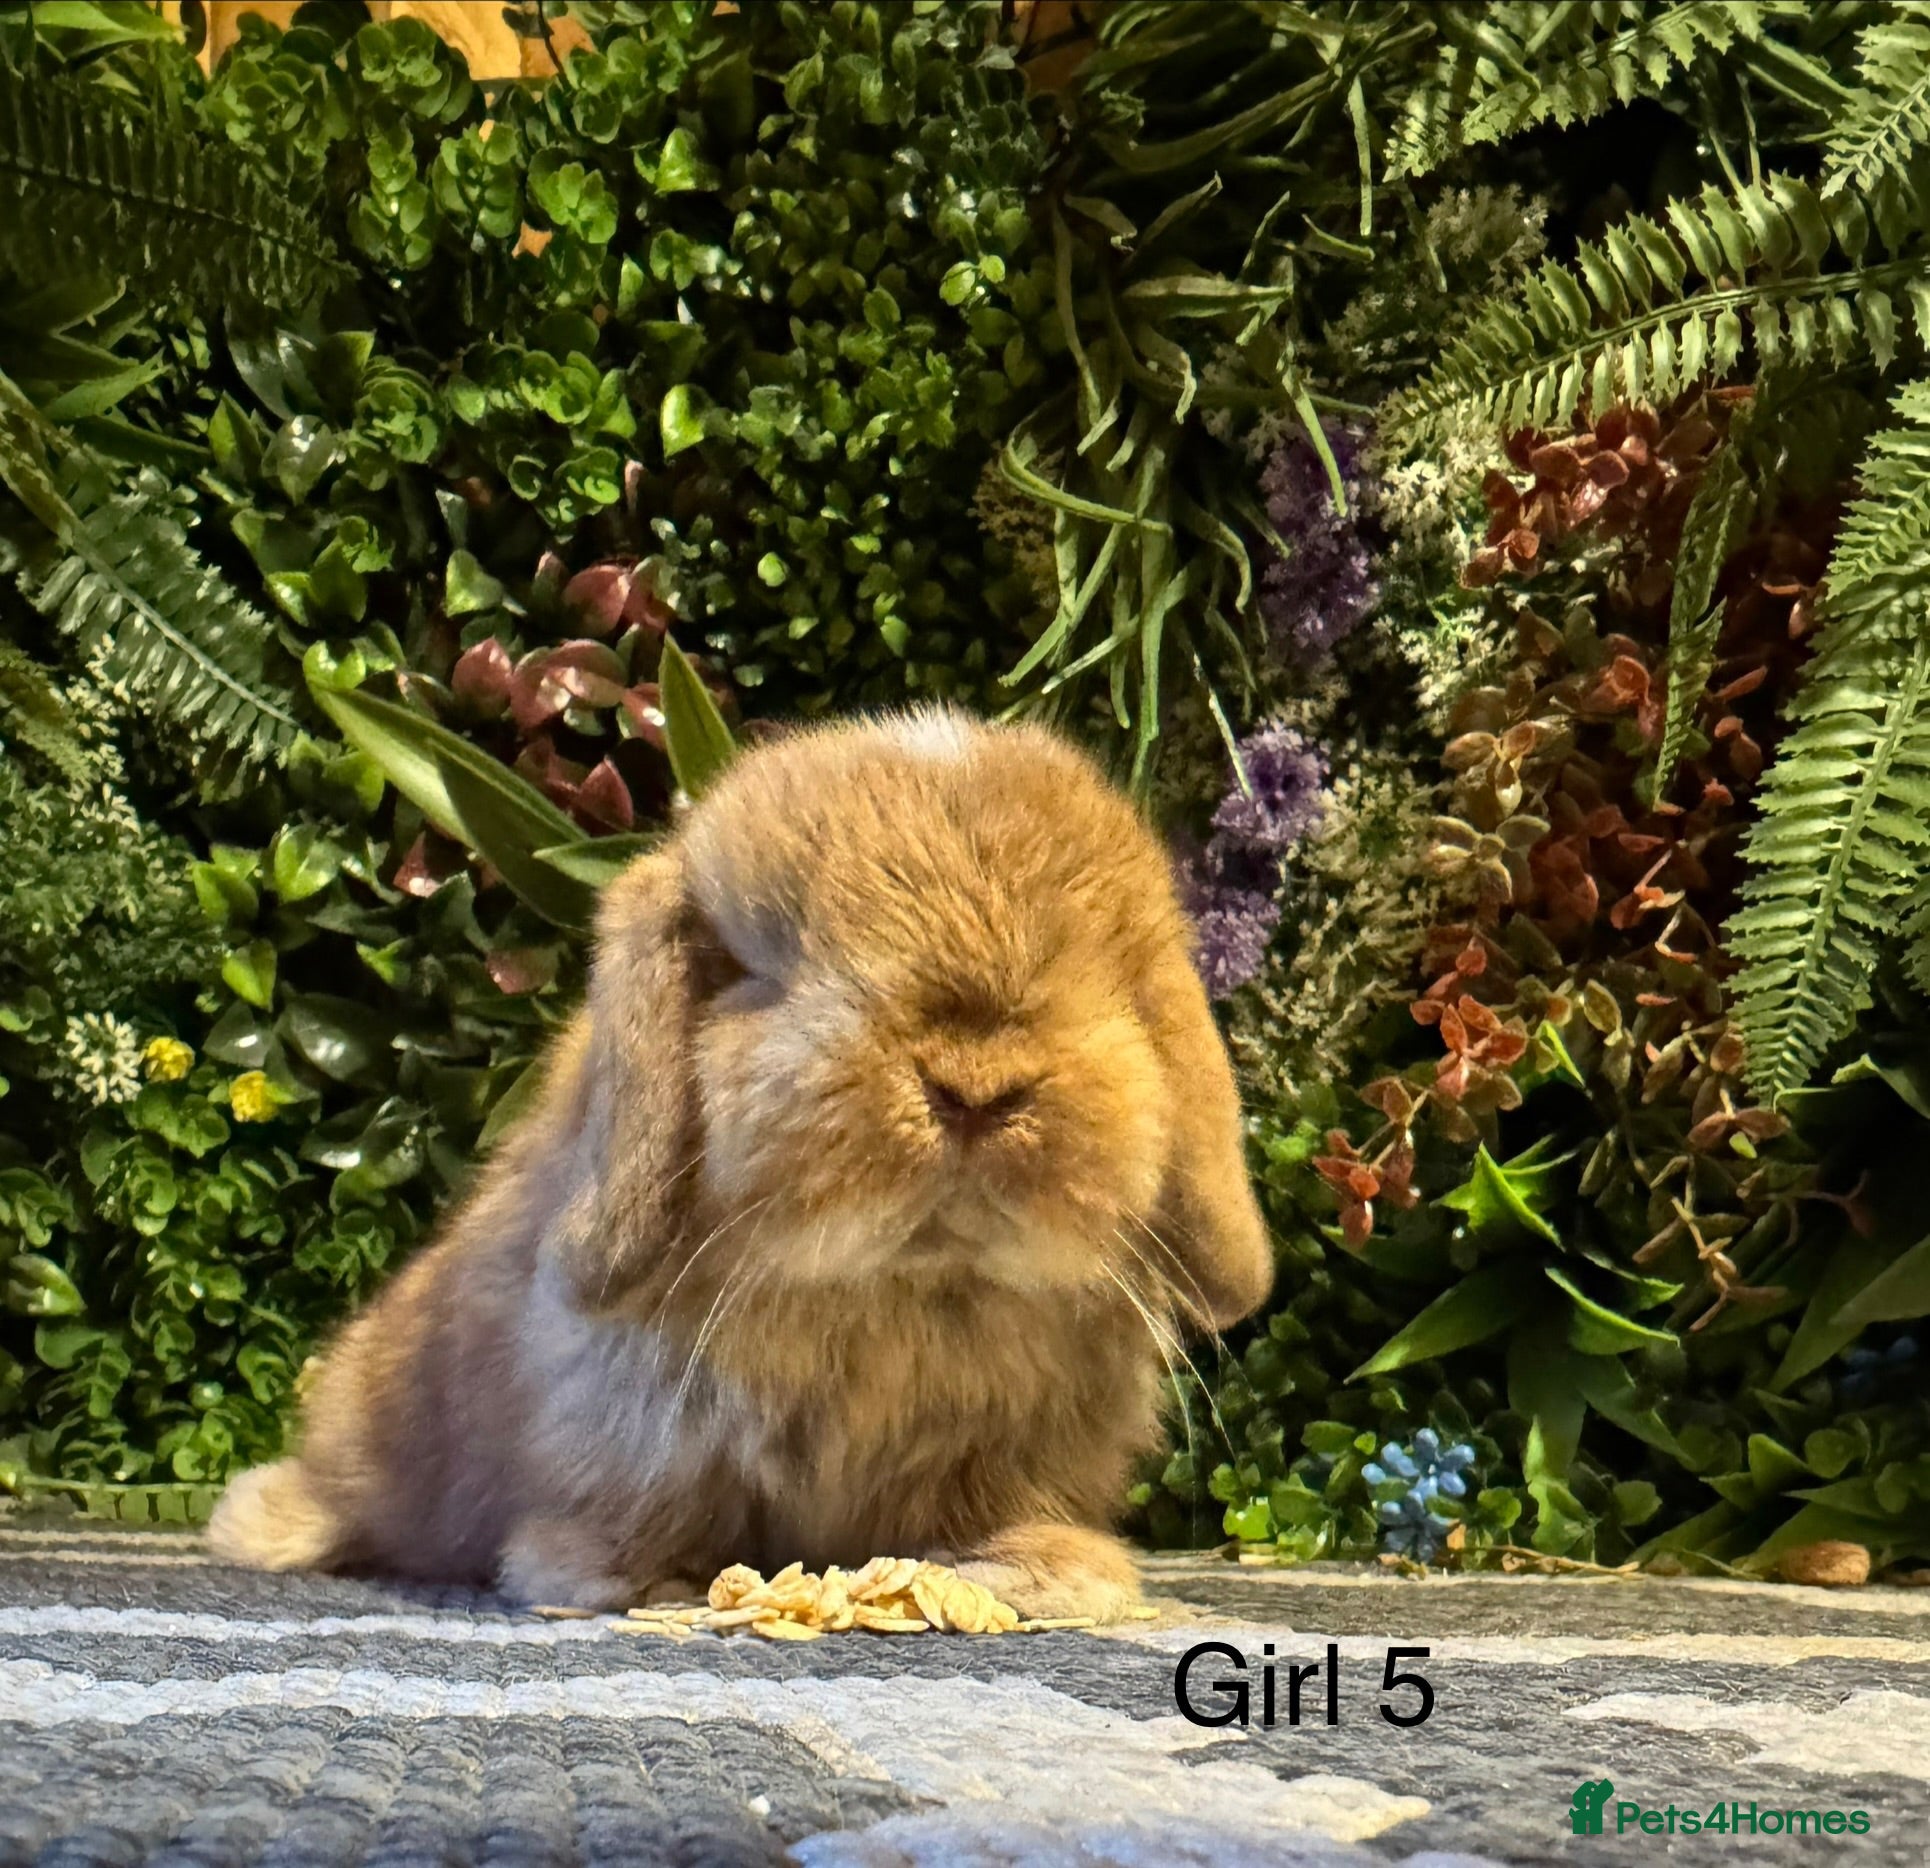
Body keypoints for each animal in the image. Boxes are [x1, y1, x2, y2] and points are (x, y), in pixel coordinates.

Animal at [208, 707, 1274, 1621]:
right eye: (761, 969)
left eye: (1114, 980)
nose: (975, 1086)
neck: (901, 1291)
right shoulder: (638, 1424)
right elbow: (645, 1506)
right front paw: (636, 1582)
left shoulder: (1021, 1446)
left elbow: (1002, 1506)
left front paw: (1040, 1576)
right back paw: (258, 1524)